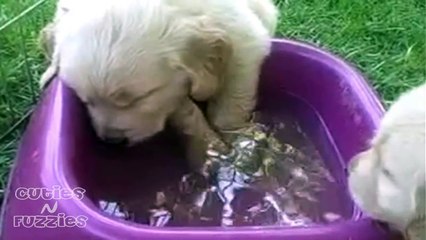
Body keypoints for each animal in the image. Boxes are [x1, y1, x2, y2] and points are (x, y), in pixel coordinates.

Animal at [40, 0, 280, 168]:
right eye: (86, 100)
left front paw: (237, 144)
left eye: (141, 97)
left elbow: (230, 107)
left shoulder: (245, 41)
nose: (113, 141)